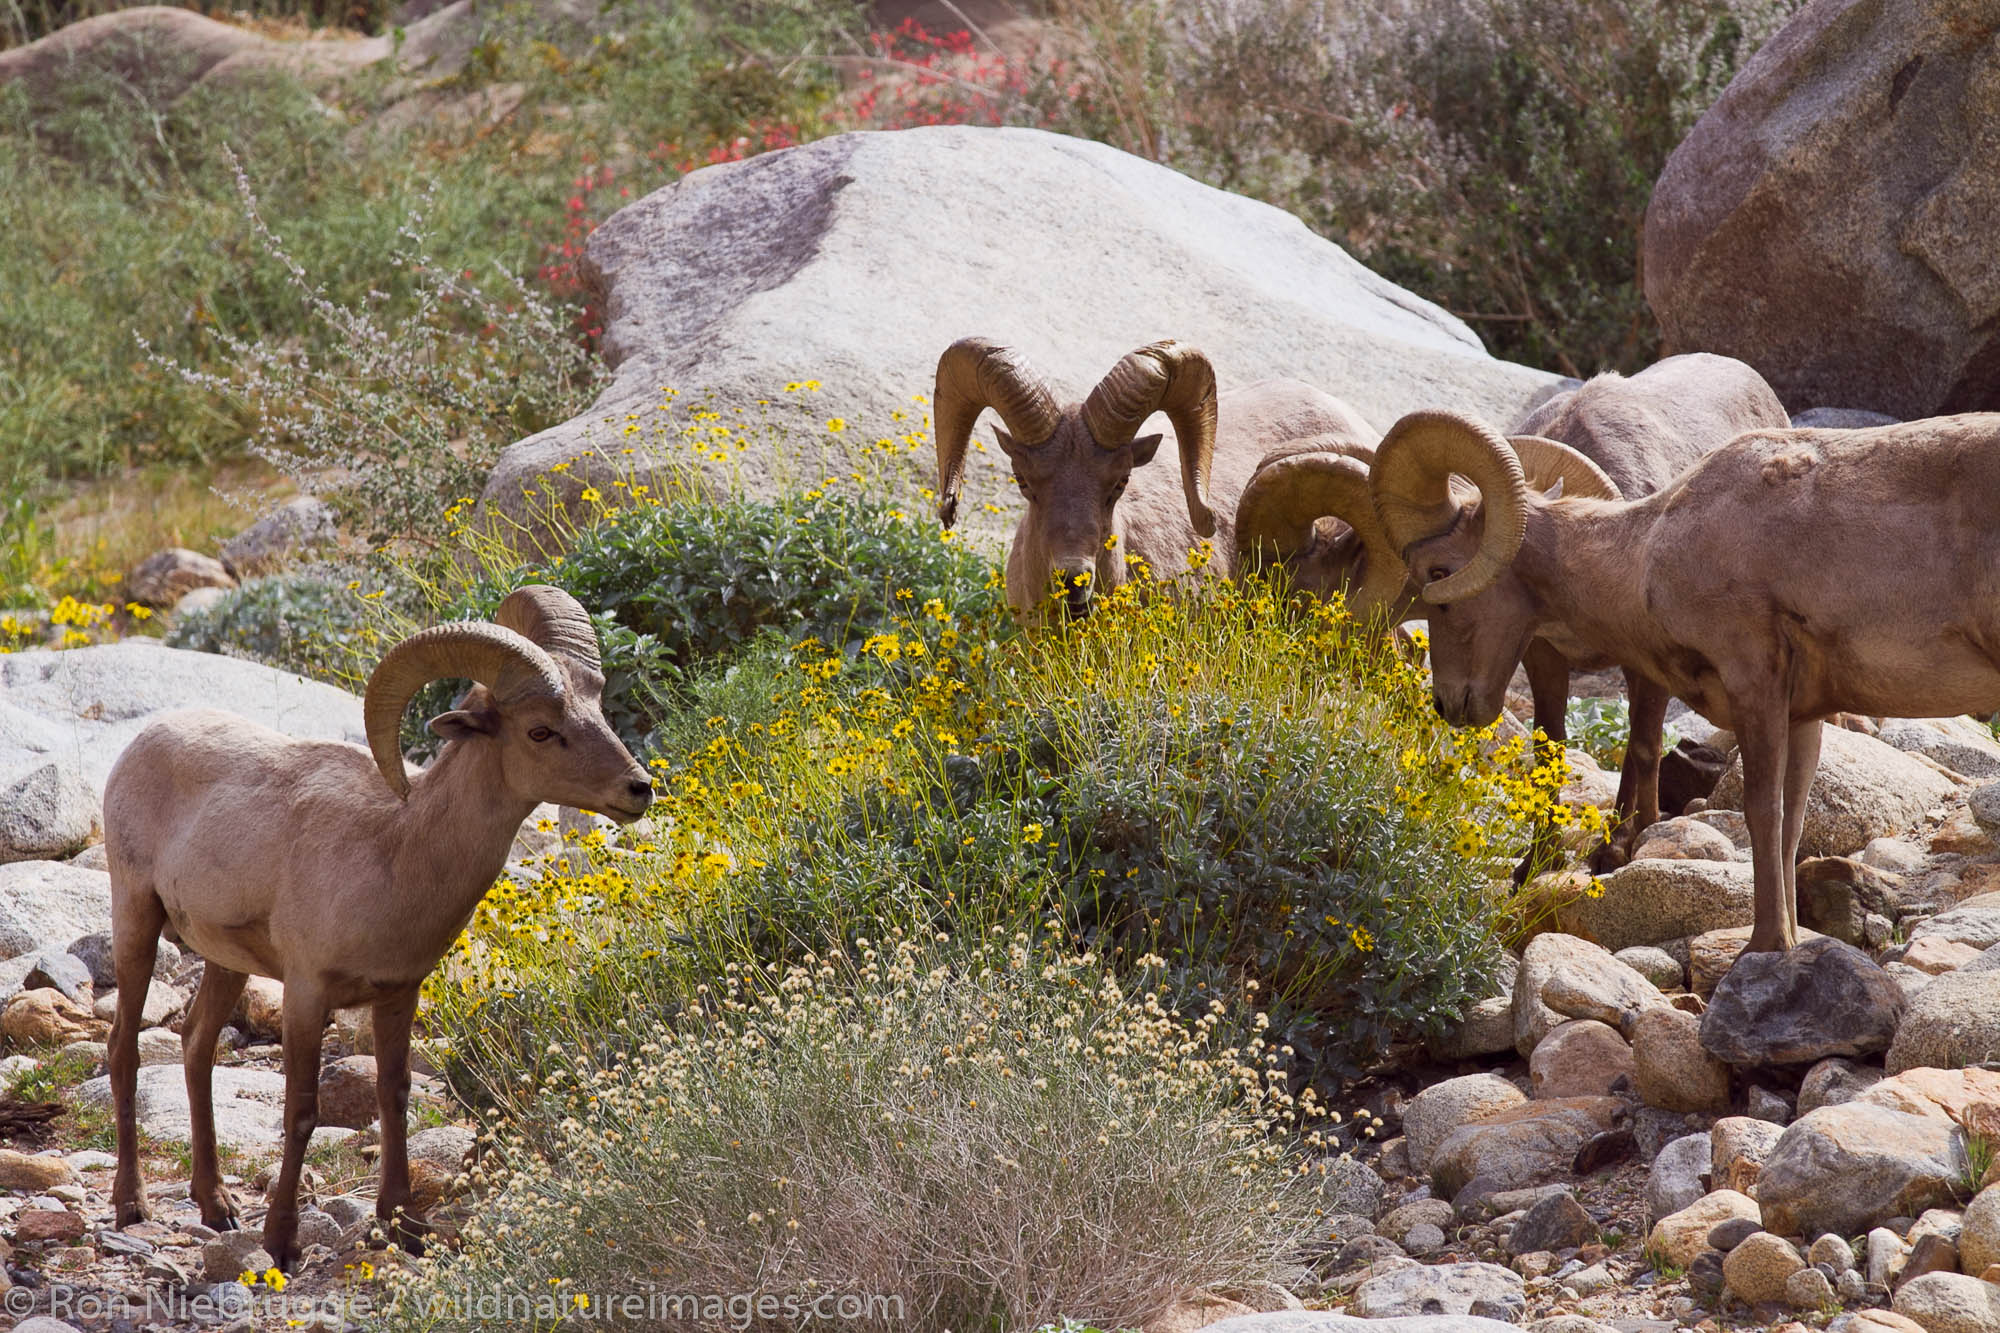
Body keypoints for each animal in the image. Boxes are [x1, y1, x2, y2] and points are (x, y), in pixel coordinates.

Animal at [105, 584, 652, 1264]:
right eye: (541, 731)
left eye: (597, 707)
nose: (639, 789)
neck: (397, 850)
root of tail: (142, 742)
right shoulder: (308, 993)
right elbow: (302, 1112)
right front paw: (281, 1241)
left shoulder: (398, 994)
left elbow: (395, 1098)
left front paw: (403, 1226)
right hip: (136, 918)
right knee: (124, 1049)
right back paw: (133, 1205)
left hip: (226, 962)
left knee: (195, 1044)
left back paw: (218, 1207)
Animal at [1240, 352, 1792, 868]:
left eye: (1436, 573)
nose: (1451, 705)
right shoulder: (1541, 653)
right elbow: (1551, 748)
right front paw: (1536, 863)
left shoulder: (1645, 666)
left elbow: (1642, 746)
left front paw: (1619, 850)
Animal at [1376, 408, 2000, 956]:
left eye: (1437, 573)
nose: (1450, 703)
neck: (1647, 553)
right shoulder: (1804, 715)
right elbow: (1792, 822)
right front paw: (1793, 941)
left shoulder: (1754, 684)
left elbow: (1762, 812)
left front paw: (1763, 945)